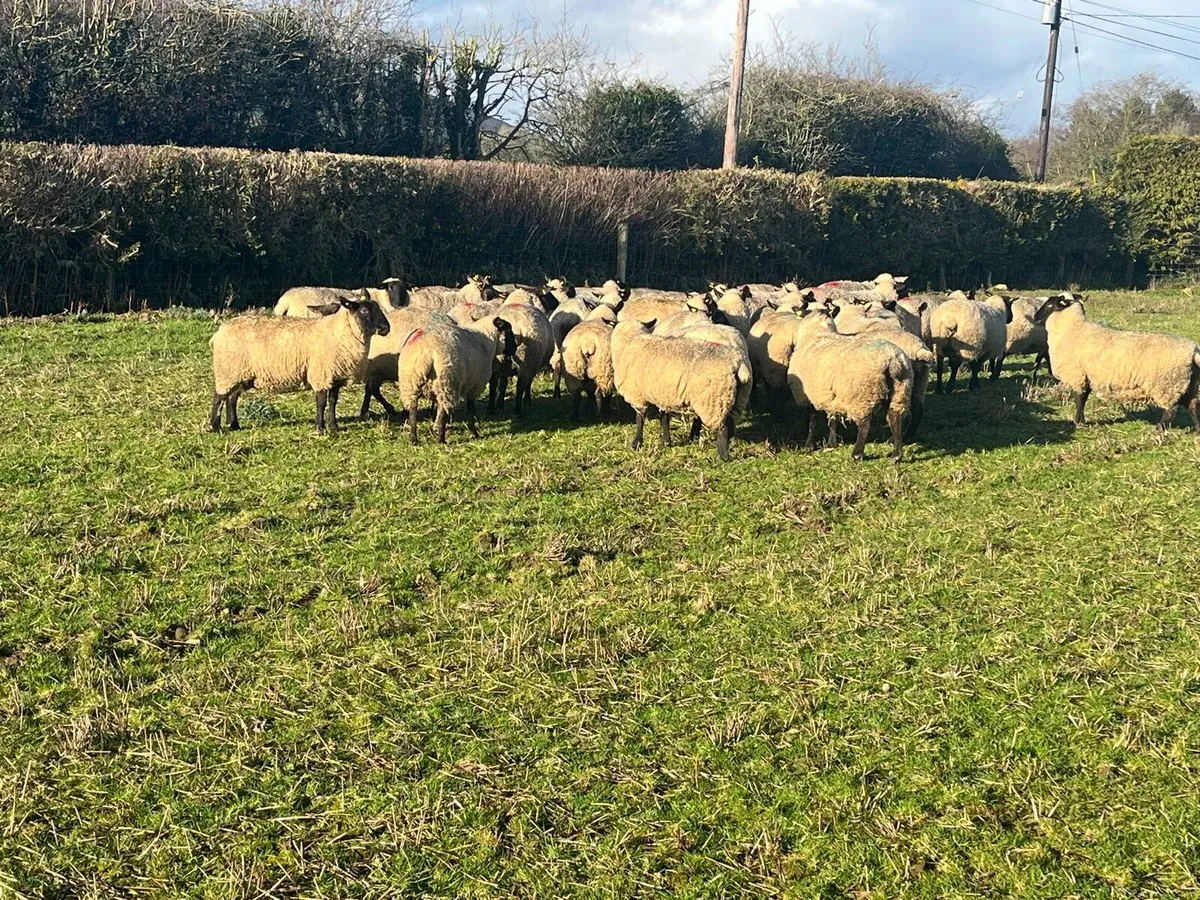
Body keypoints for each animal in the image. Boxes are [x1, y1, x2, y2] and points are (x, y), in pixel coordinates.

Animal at [210, 292, 390, 435]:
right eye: (364, 311)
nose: (385, 328)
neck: (338, 332)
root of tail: (220, 331)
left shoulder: (335, 376)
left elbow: (333, 402)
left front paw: (334, 427)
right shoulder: (321, 374)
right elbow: (321, 402)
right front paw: (320, 429)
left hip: (239, 373)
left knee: (232, 397)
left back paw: (234, 425)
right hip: (227, 370)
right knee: (219, 398)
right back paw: (215, 427)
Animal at [611, 320, 753, 462]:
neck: (631, 340)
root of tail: (738, 361)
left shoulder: (637, 396)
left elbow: (639, 420)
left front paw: (636, 444)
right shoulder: (663, 395)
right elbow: (664, 417)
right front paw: (666, 441)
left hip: (714, 401)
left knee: (722, 428)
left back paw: (723, 456)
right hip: (737, 398)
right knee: (731, 422)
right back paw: (729, 444)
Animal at [786, 309, 914, 462]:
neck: (817, 333)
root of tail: (892, 360)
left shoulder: (808, 395)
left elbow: (812, 420)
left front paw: (809, 445)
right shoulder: (831, 396)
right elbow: (833, 418)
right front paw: (832, 443)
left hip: (863, 395)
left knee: (865, 424)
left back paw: (857, 454)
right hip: (901, 389)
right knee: (896, 418)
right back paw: (896, 455)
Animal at [1034, 295, 1200, 431]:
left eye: (1049, 305)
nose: (1035, 318)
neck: (1073, 329)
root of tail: (1192, 350)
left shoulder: (1077, 375)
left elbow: (1079, 400)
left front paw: (1078, 422)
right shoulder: (1087, 376)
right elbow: (1083, 399)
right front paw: (1081, 421)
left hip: (1168, 384)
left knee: (1170, 410)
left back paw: (1159, 431)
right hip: (1188, 384)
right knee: (1193, 406)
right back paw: (1197, 432)